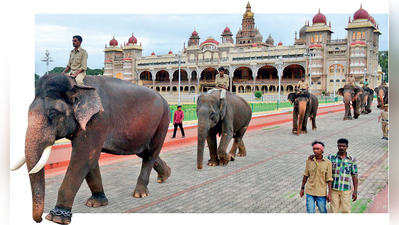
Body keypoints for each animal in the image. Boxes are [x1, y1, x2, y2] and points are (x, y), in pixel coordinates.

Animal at [10, 74, 172, 224]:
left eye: (53, 113)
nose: (39, 219)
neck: (75, 84)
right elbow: (91, 160)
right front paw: (96, 203)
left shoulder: (98, 119)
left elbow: (83, 159)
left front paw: (56, 217)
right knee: (144, 151)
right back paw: (165, 176)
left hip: (163, 119)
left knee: (151, 153)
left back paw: (140, 193)